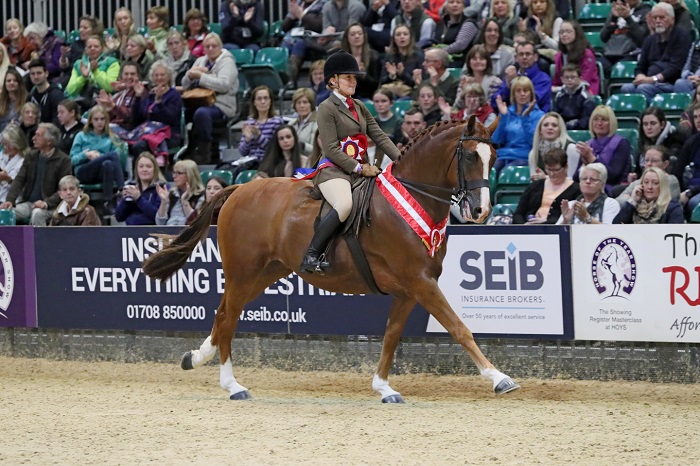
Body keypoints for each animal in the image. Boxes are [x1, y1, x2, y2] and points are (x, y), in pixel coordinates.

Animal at [142, 115, 521, 402]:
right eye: (470, 156)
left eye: (493, 156)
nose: (481, 211)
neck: (413, 198)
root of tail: (239, 189)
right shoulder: (421, 282)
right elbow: (459, 328)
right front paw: (499, 378)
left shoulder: (408, 289)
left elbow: (391, 336)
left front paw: (384, 388)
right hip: (242, 271)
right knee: (229, 317)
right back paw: (232, 385)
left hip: (264, 273)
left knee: (222, 316)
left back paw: (196, 358)